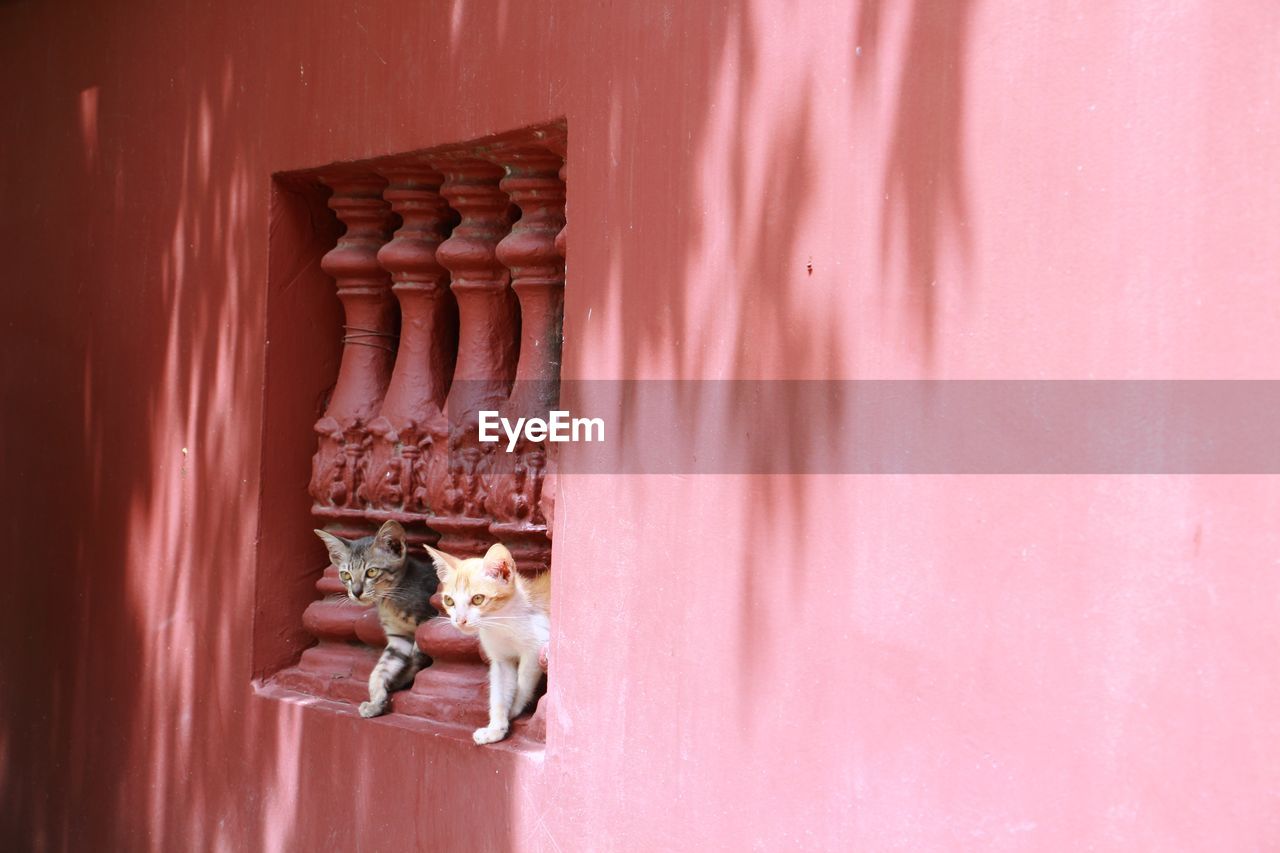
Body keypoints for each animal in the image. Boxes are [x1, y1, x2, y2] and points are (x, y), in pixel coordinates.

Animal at [314, 517, 440, 717]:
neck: (390, 600)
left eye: (371, 572)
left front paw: (402, 680)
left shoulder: (428, 622)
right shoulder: (398, 638)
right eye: (346, 575)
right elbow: (381, 668)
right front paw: (376, 700)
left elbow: (420, 655)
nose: (356, 592)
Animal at [424, 540, 550, 742]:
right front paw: (495, 728)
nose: (460, 620)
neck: (500, 623)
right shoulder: (501, 660)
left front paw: (514, 708)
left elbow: (523, 680)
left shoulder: (537, 645)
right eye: (449, 601)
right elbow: (499, 690)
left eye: (478, 599)